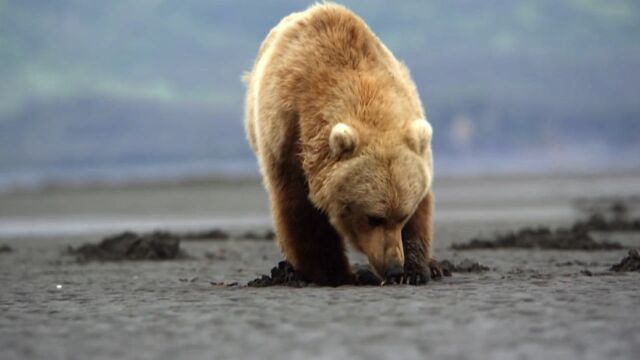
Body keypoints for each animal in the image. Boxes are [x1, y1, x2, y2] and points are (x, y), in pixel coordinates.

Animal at [244, 2, 436, 284]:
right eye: (373, 218)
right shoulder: (289, 133)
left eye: (402, 215)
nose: (393, 268)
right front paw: (332, 272)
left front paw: (415, 270)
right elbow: (302, 212)